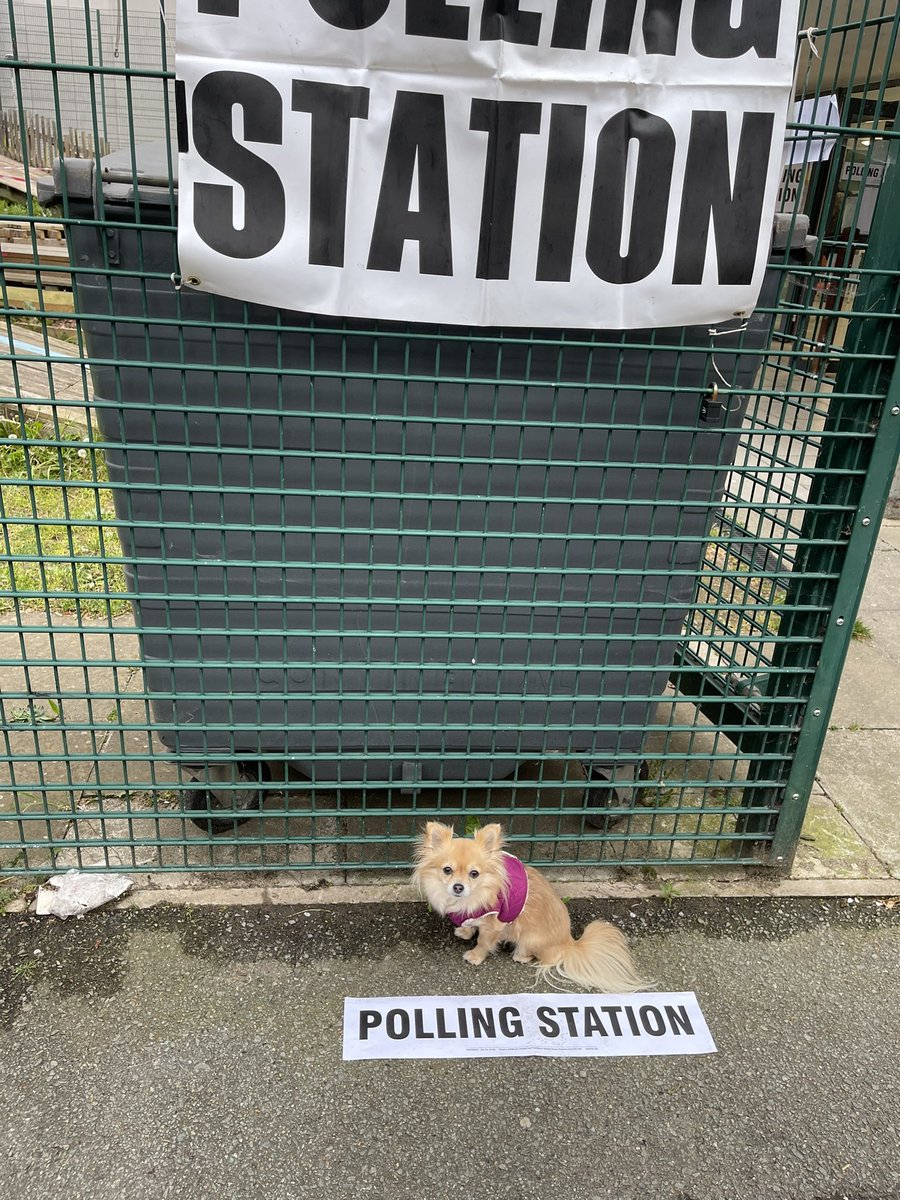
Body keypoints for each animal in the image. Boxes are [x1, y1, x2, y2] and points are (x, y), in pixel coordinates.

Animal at [412, 816, 652, 993]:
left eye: (474, 874)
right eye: (447, 870)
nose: (458, 887)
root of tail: (569, 943)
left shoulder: (495, 923)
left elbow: (483, 941)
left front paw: (475, 956)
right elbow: (471, 923)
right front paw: (465, 930)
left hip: (529, 939)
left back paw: (521, 956)